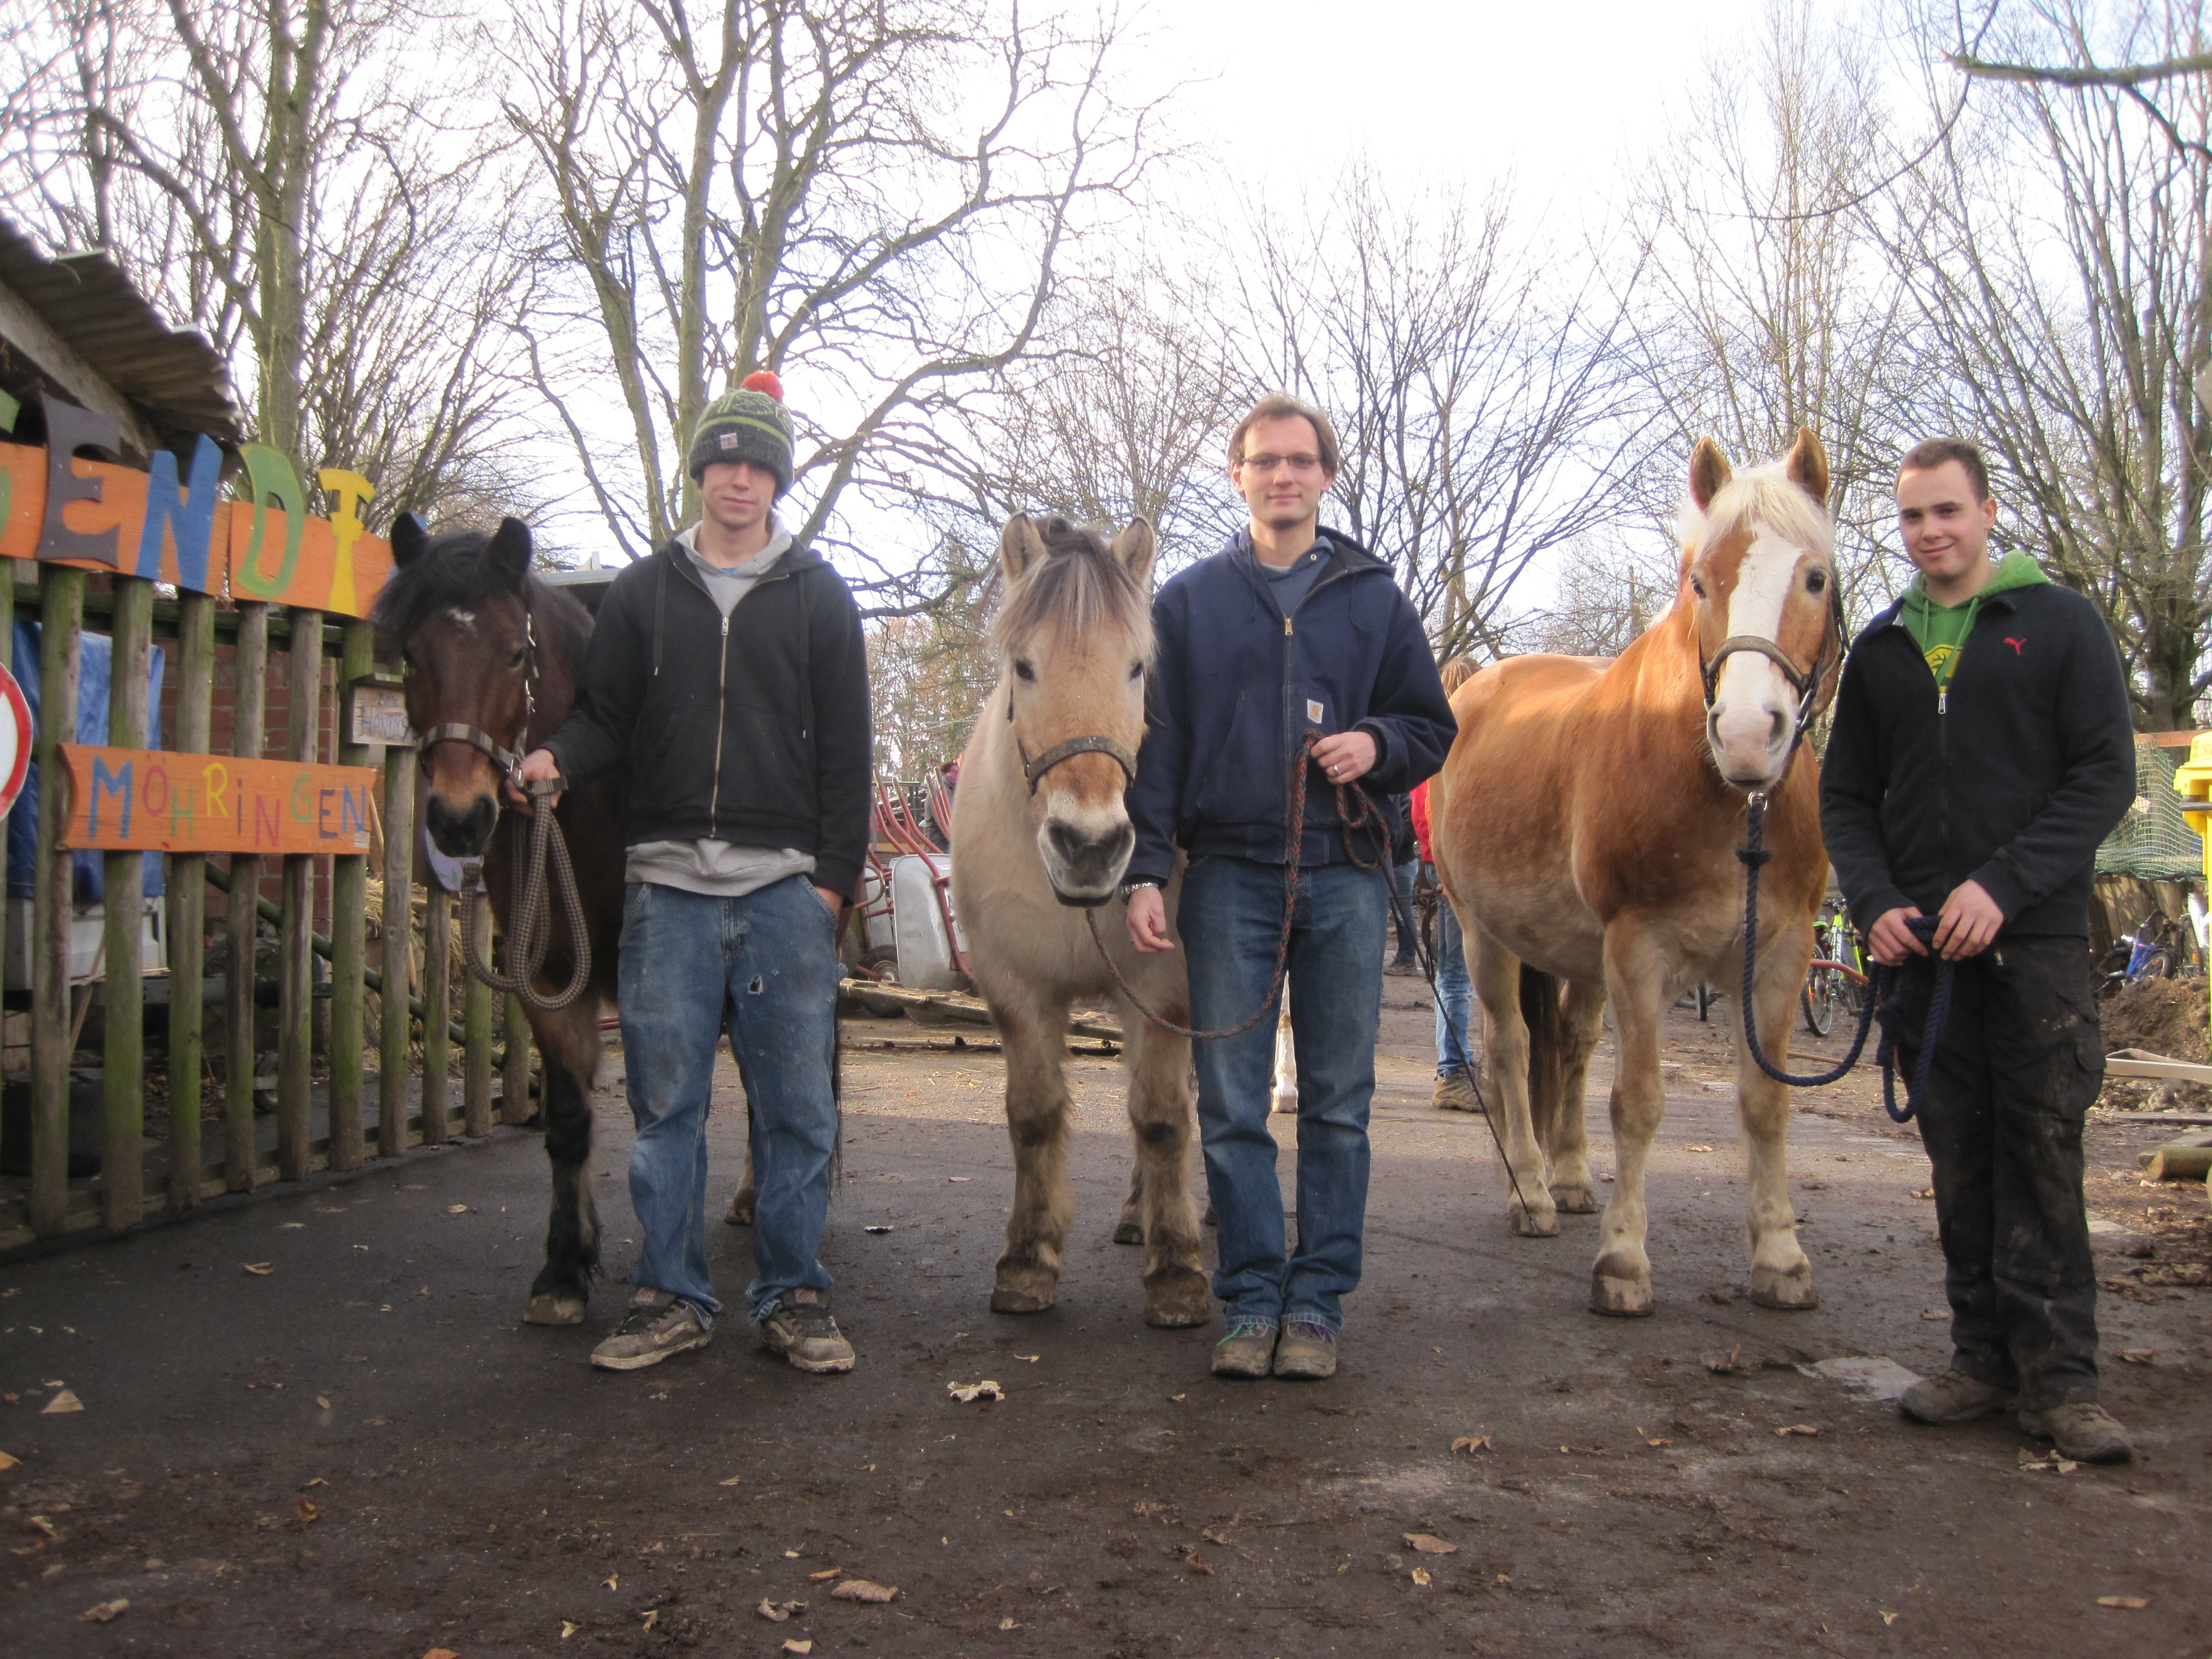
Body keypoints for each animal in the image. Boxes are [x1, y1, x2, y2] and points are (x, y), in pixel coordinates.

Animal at [374, 516, 628, 1326]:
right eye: (412, 653)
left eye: (516, 653)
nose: (460, 819)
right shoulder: (547, 977)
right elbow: (569, 1117)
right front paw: (566, 1267)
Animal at [949, 515, 1211, 1328]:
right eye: (1024, 667)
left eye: (1138, 669)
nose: (1091, 847)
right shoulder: (1013, 987)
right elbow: (1034, 1115)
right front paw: (1028, 1260)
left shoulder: (1164, 989)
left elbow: (1162, 1118)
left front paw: (1177, 1270)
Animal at [1430, 431, 1840, 1318]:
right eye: (1700, 582)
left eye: (1815, 577)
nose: (1748, 734)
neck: (1727, 806)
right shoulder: (1639, 950)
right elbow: (1640, 1102)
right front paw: (1623, 1260)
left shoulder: (1782, 955)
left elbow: (1766, 1102)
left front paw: (1781, 1255)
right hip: (1484, 935)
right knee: (1511, 1049)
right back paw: (1531, 1191)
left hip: (1579, 957)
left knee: (1573, 1047)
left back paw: (1572, 1177)